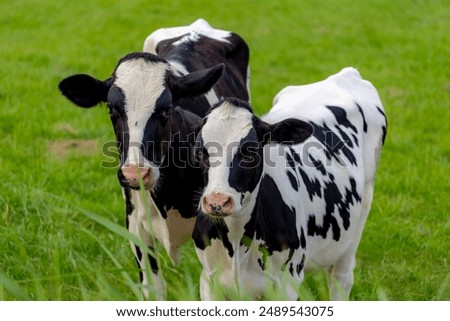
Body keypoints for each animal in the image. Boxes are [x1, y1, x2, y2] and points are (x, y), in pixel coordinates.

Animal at [190, 66, 386, 298]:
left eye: (251, 152)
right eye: (199, 151)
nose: (217, 201)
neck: (237, 243)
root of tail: (346, 74)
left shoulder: (287, 283)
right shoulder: (209, 281)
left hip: (361, 212)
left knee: (341, 278)